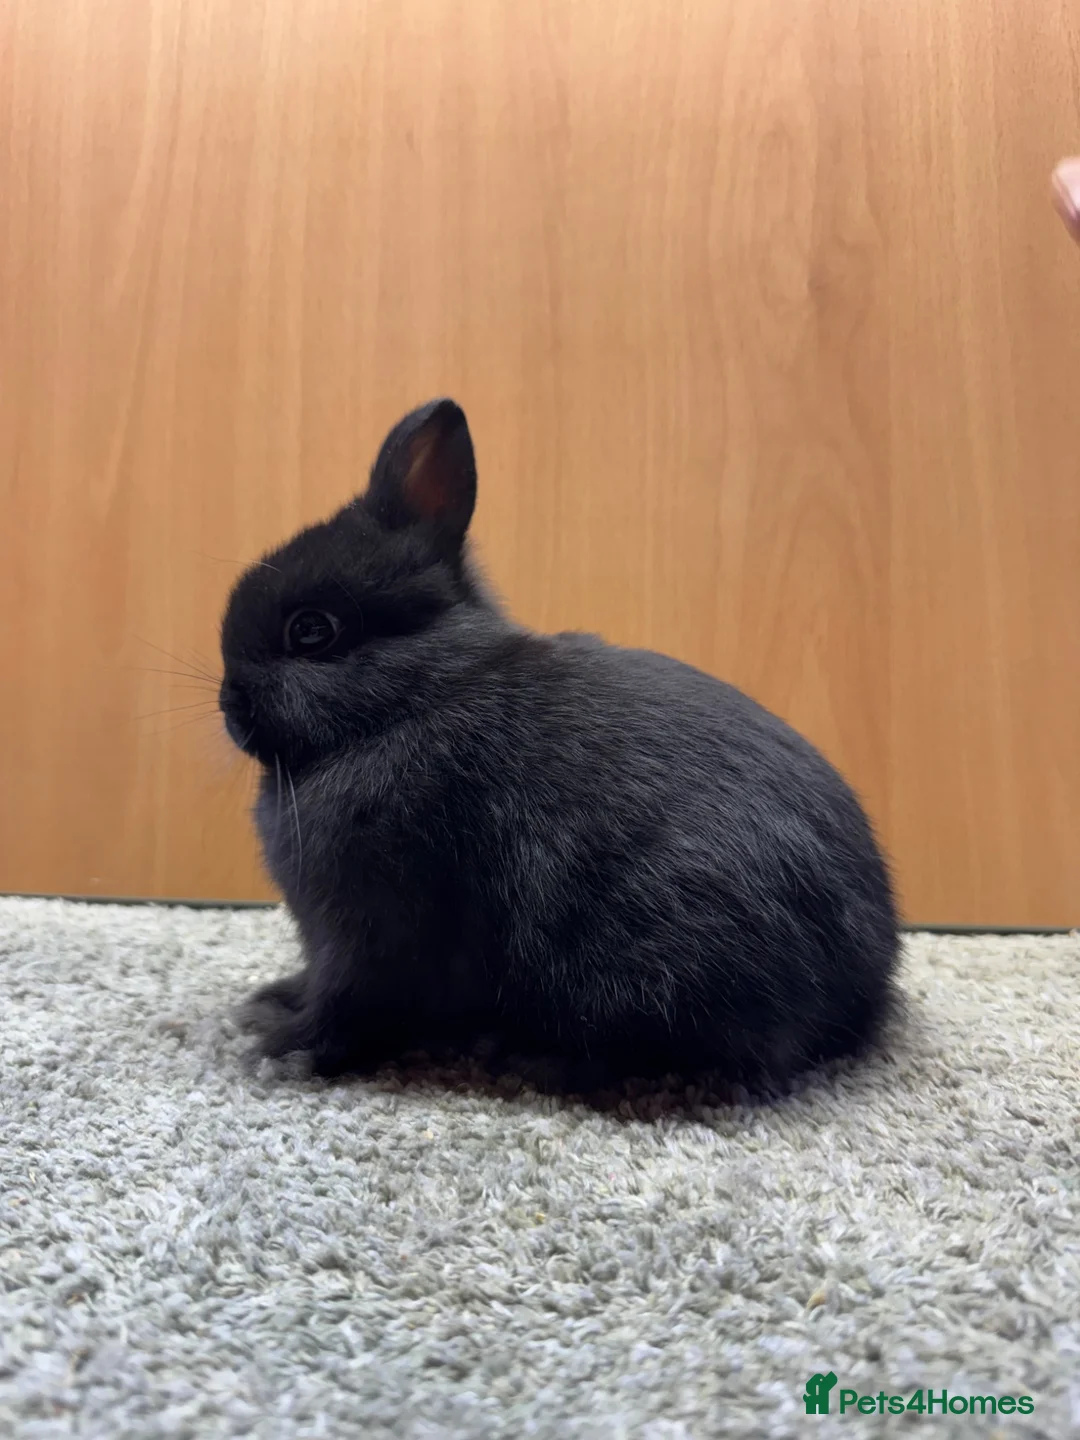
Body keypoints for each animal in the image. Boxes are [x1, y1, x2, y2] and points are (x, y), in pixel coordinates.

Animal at [219, 398, 900, 1090]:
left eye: (311, 631)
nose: (229, 704)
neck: (415, 696)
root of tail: (865, 989)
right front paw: (271, 1002)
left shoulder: (373, 928)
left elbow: (348, 1004)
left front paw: (284, 1048)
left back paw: (529, 1056)